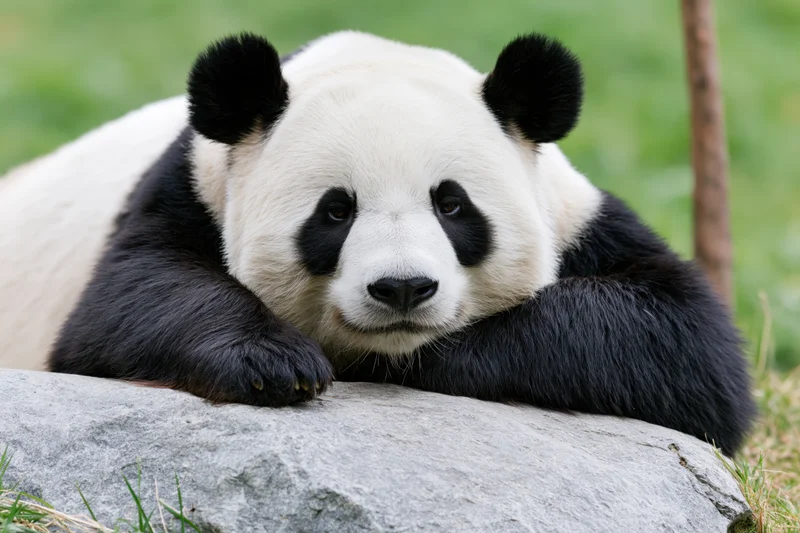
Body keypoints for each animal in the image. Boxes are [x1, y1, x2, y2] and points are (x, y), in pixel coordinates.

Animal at [0, 30, 755, 455]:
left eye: (452, 204)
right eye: (335, 212)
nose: (402, 288)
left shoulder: (577, 218)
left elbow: (685, 345)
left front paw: (431, 361)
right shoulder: (193, 187)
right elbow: (127, 303)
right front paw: (275, 363)